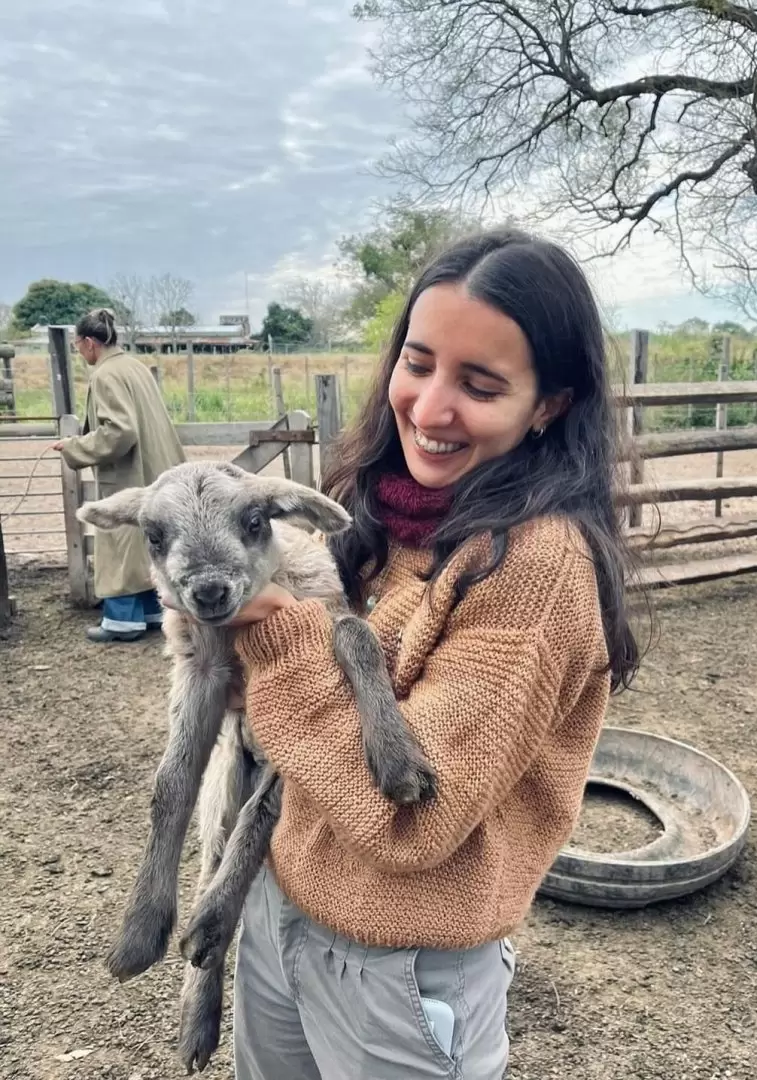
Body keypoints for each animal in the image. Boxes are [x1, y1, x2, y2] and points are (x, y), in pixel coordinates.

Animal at [76, 462, 434, 1071]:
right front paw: (140, 931)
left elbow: (356, 635)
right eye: (153, 535)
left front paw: (397, 758)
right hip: (225, 780)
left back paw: (210, 927)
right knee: (213, 853)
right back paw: (198, 1009)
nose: (209, 590)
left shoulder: (313, 646)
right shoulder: (201, 669)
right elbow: (170, 785)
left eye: (253, 521)